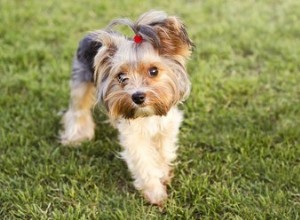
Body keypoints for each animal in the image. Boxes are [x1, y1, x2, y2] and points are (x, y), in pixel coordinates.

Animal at [59, 10, 193, 205]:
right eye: (121, 77)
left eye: (154, 71)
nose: (137, 97)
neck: (147, 114)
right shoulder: (133, 136)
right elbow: (143, 161)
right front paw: (155, 193)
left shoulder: (167, 125)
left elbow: (164, 152)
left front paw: (163, 174)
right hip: (81, 79)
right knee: (78, 109)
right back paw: (77, 136)